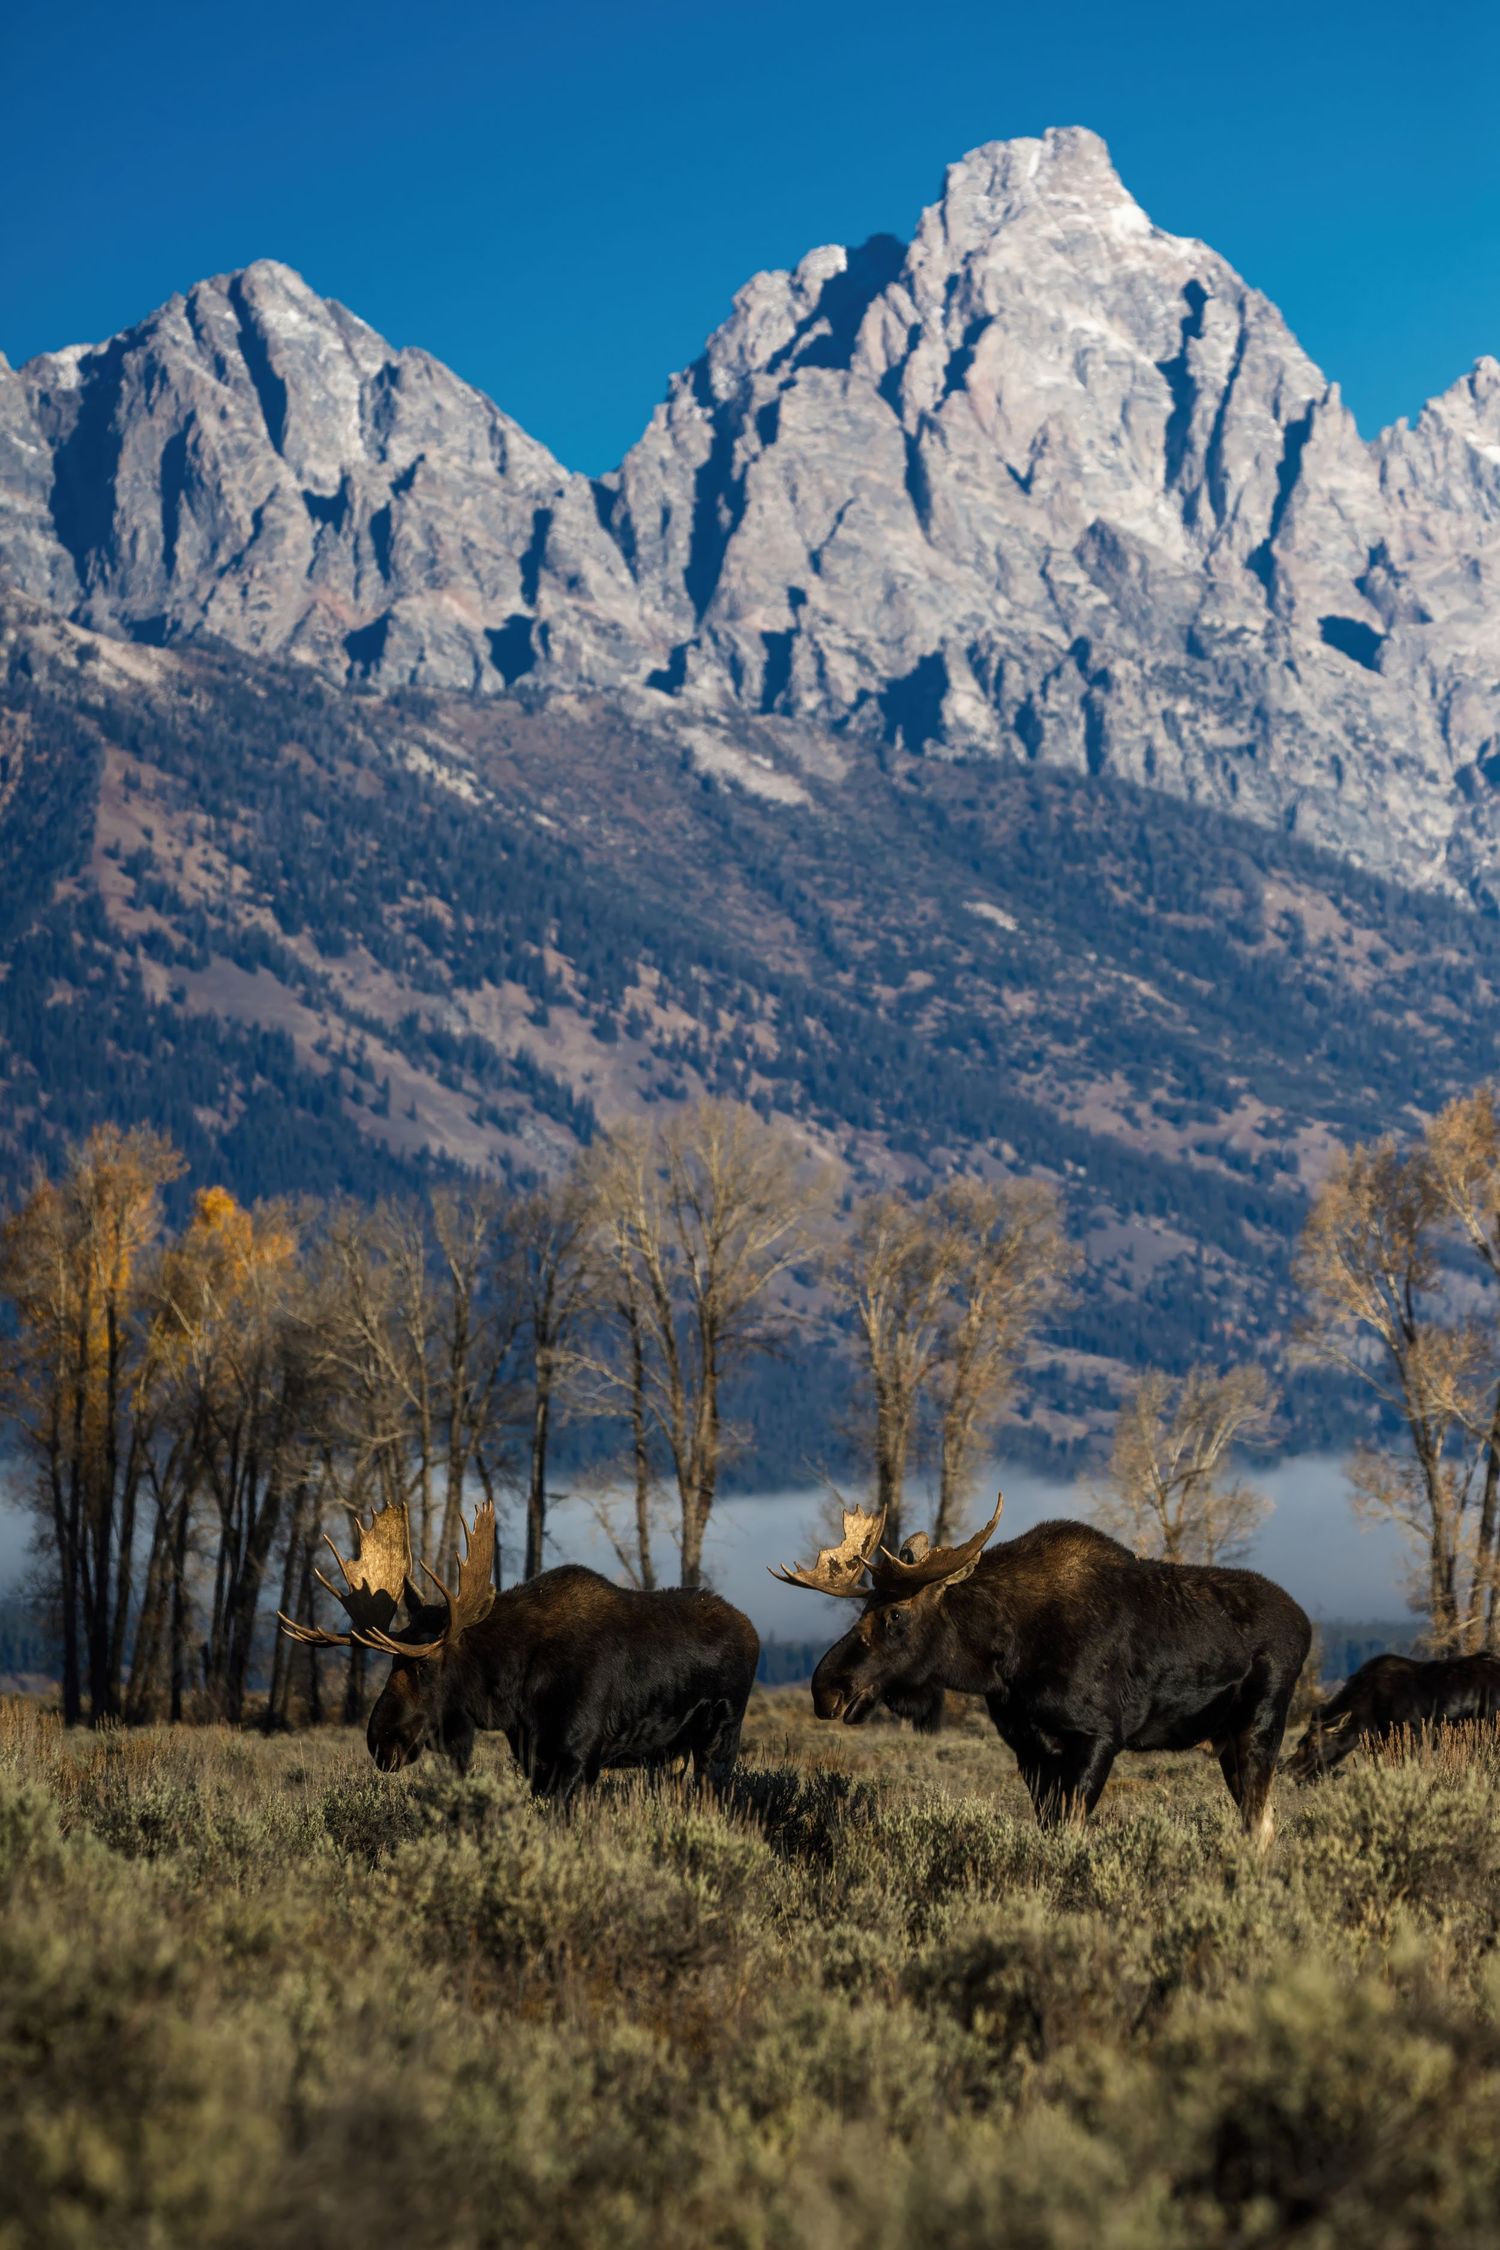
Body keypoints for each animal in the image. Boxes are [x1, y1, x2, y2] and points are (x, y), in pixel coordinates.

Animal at [280, 1501, 759, 1801]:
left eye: (425, 1664)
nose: (380, 1740)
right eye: (394, 1660)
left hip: (721, 1740)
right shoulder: (534, 1756)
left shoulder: (576, 1756)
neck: (514, 1692)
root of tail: (751, 1630)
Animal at [773, 1494, 1310, 1845]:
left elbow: (1069, 1834)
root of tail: (1304, 1625)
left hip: (1259, 1727)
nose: (826, 1688)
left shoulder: (1097, 1737)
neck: (1004, 1662)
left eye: (895, 1615)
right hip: (1228, 1741)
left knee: (1260, 1826)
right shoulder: (1029, 1746)